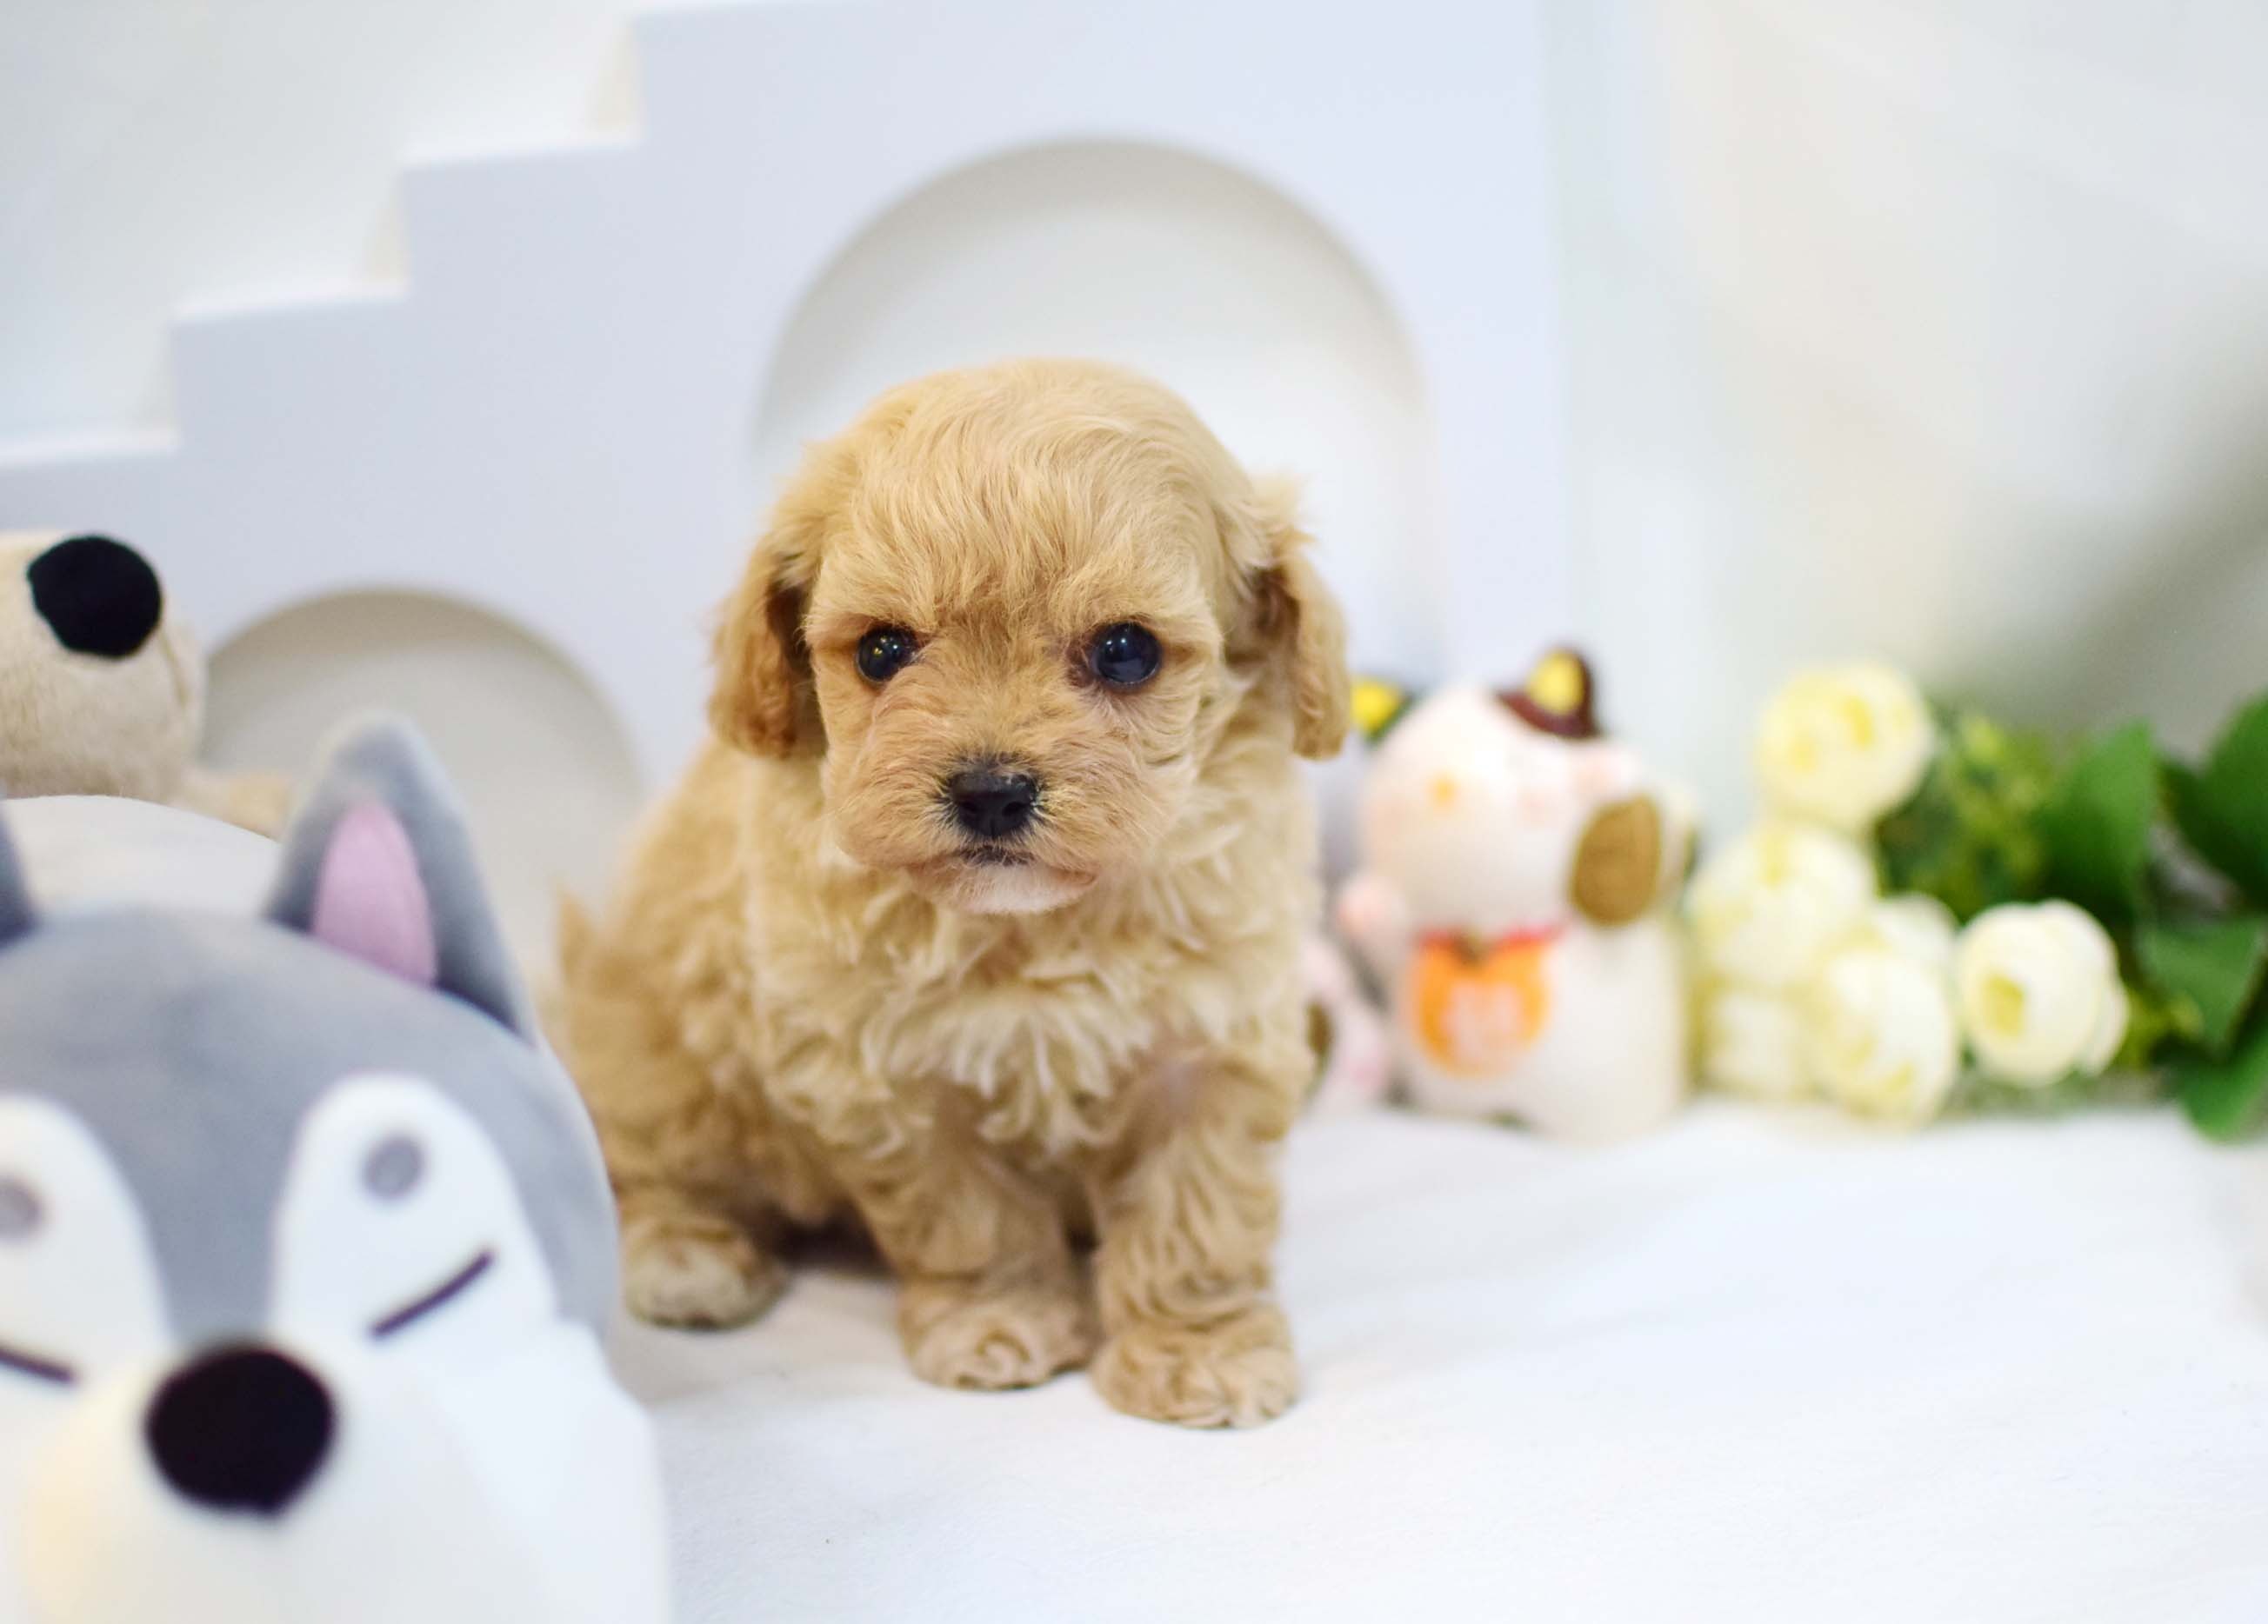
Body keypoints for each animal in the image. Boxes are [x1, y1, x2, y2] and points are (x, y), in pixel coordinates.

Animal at [558, 359, 1348, 1426]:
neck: (1038, 923)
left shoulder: (1213, 1037)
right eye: (882, 650)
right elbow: (968, 1217)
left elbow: (1198, 1211)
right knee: (646, 1166)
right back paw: (689, 1256)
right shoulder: (891, 1075)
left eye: (1127, 650)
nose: (989, 790)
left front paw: (1199, 1348)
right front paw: (996, 1321)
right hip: (654, 1051)